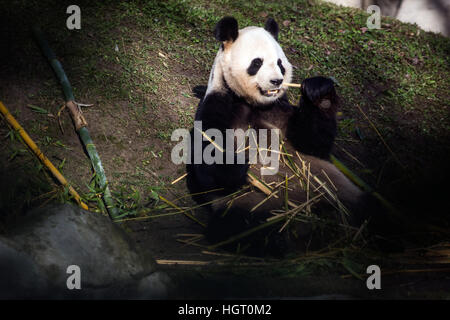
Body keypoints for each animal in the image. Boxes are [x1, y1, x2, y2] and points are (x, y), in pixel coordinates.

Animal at [186, 17, 376, 256]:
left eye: (280, 63)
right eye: (256, 63)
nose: (276, 81)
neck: (252, 103)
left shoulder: (279, 110)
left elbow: (312, 143)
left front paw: (319, 91)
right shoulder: (219, 104)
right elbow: (208, 163)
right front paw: (238, 165)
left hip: (336, 189)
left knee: (371, 208)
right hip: (249, 203)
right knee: (240, 226)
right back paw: (281, 239)